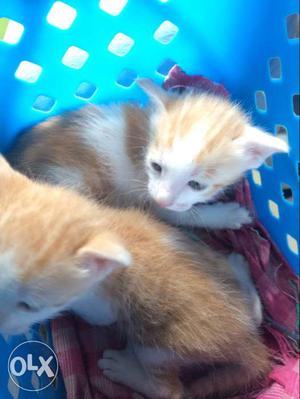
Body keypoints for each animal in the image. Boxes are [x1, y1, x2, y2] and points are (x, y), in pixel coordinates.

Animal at [0, 156, 268, 399]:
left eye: (29, 306)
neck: (102, 220)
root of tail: (249, 341)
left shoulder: (101, 305)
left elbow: (97, 316)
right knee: (254, 311)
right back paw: (241, 267)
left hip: (161, 346)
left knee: (170, 390)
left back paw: (125, 370)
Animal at [7, 79, 288, 230]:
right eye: (156, 166)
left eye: (197, 184)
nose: (162, 198)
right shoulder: (150, 196)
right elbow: (184, 214)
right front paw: (230, 215)